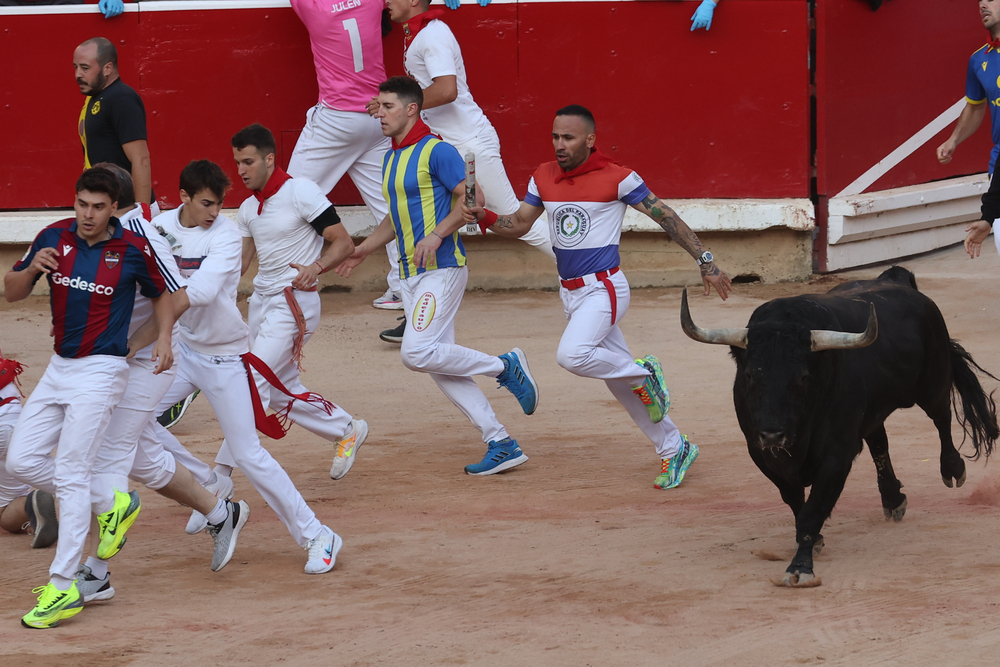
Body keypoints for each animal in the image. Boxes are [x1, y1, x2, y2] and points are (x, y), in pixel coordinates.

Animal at [684, 266, 996, 584]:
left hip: (933, 381)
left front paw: (800, 567)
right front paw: (814, 542)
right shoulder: (761, 453)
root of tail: (896, 278)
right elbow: (794, 500)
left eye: (802, 377)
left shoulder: (838, 453)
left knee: (941, 418)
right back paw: (893, 499)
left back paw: (952, 469)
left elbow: (813, 509)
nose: (772, 434)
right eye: (749, 375)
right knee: (879, 441)